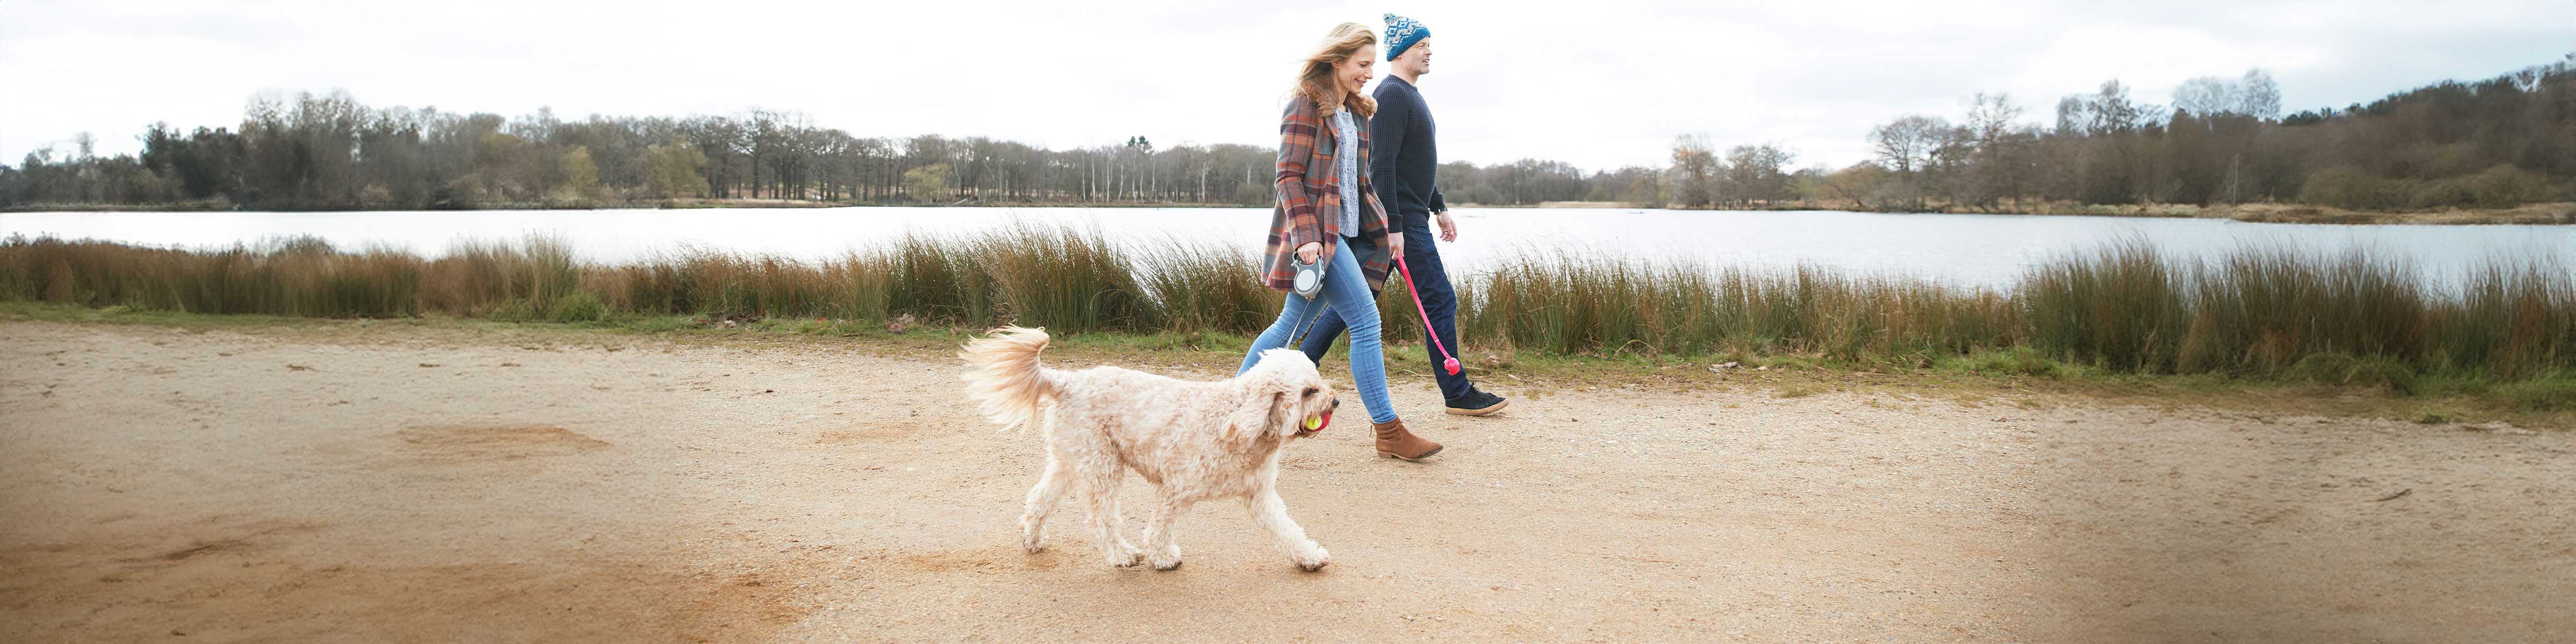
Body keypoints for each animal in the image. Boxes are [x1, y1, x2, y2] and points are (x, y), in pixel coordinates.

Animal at [958, 327, 1340, 569]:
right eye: (1308, 392)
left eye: (1318, 381)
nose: (1335, 401)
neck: (1233, 422)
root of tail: (1068, 381)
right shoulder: (1175, 489)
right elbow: (1159, 527)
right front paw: (1162, 558)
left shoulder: (1261, 497)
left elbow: (1288, 530)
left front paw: (1308, 557)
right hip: (1102, 468)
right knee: (1101, 518)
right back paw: (1122, 555)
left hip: (1070, 462)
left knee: (1039, 500)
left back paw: (1034, 540)